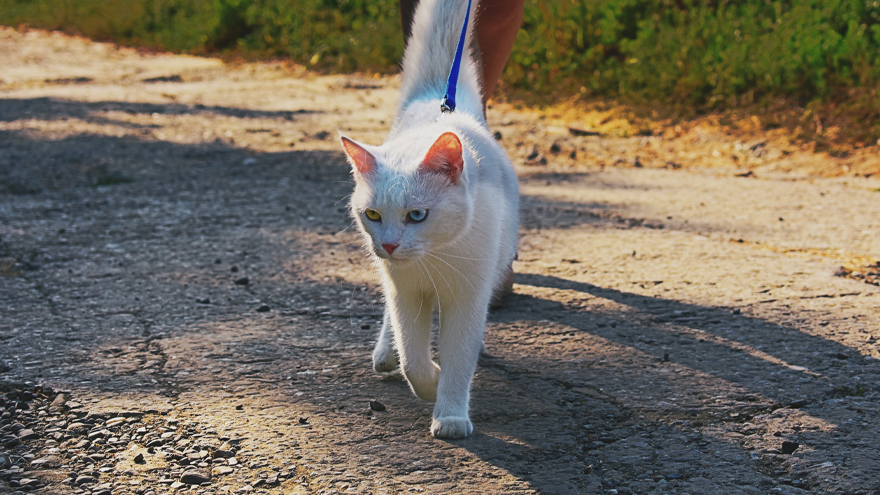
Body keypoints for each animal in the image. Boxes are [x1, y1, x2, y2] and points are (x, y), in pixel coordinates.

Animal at [336, 0, 516, 440]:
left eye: (417, 215)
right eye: (373, 214)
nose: (388, 244)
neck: (433, 258)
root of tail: (438, 100)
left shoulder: (467, 298)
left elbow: (459, 359)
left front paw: (450, 414)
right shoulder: (407, 294)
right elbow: (412, 357)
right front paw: (430, 382)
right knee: (393, 326)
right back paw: (385, 352)